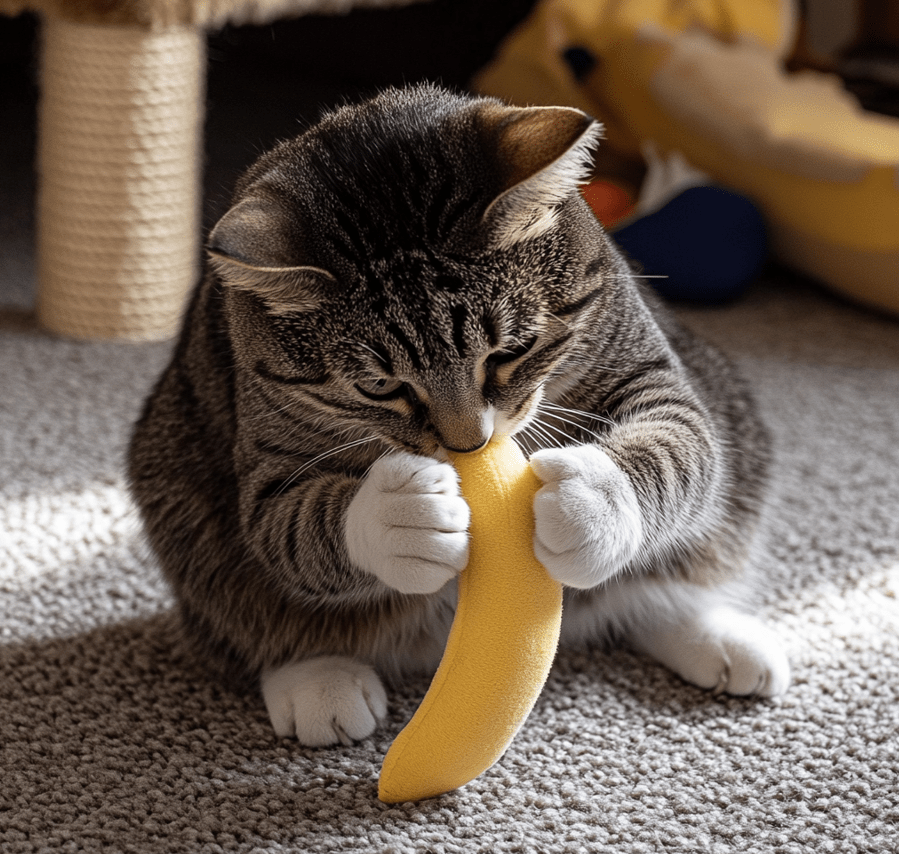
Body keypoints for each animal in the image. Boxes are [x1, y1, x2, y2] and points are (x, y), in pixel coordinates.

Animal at [130, 82, 792, 748]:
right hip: (184, 505)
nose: (469, 443)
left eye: (510, 351)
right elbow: (297, 525)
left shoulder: (648, 369)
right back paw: (319, 682)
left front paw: (592, 503)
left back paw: (717, 637)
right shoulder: (270, 467)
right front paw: (397, 519)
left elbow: (679, 443)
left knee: (640, 588)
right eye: (379, 385)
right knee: (262, 624)